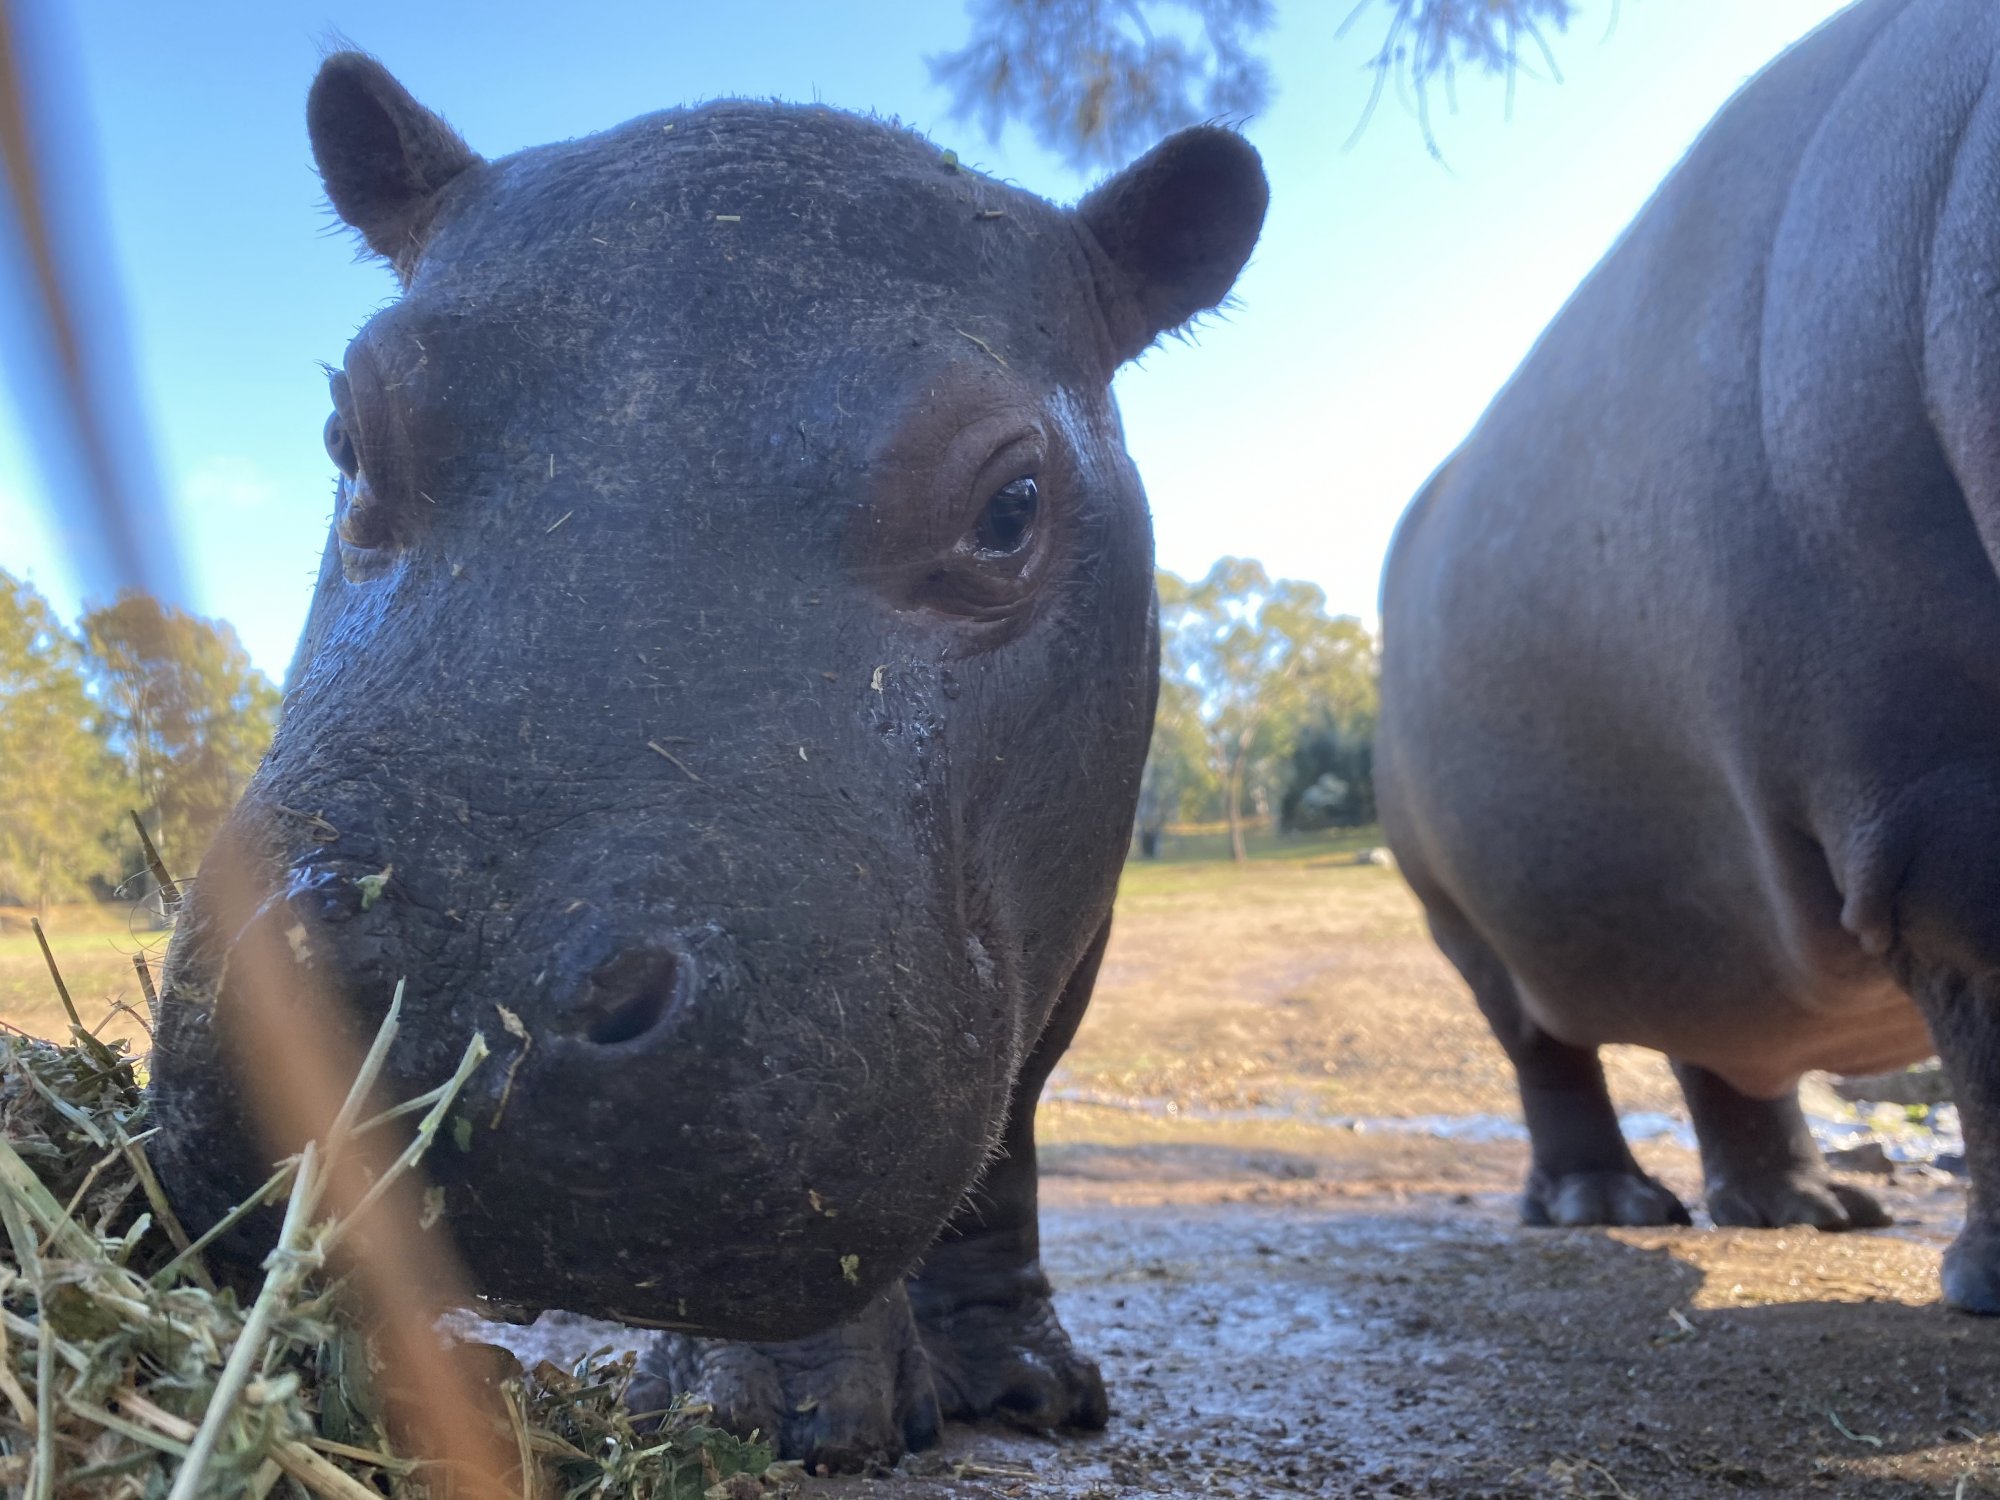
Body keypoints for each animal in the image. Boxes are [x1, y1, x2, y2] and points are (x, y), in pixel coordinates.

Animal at [152, 55, 1264, 1472]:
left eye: (1013, 504)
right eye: (348, 431)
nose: (442, 1012)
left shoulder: (1075, 930)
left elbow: (1007, 1142)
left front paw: (1027, 1388)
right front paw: (782, 1412)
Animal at [1384, 0, 2000, 1312]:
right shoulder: (1935, 797)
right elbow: (1991, 1014)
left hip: (1689, 895)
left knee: (1721, 1046)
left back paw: (1810, 1214)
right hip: (1467, 926)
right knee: (1550, 1057)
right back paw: (1601, 1208)